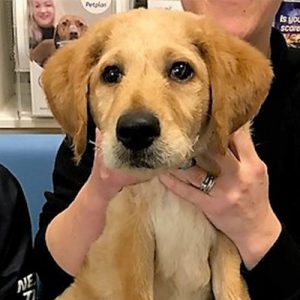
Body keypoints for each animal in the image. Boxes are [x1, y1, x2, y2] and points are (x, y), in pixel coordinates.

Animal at [42, 8, 274, 298]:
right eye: (111, 74)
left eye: (181, 70)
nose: (136, 131)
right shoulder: (130, 242)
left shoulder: (227, 240)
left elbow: (232, 292)